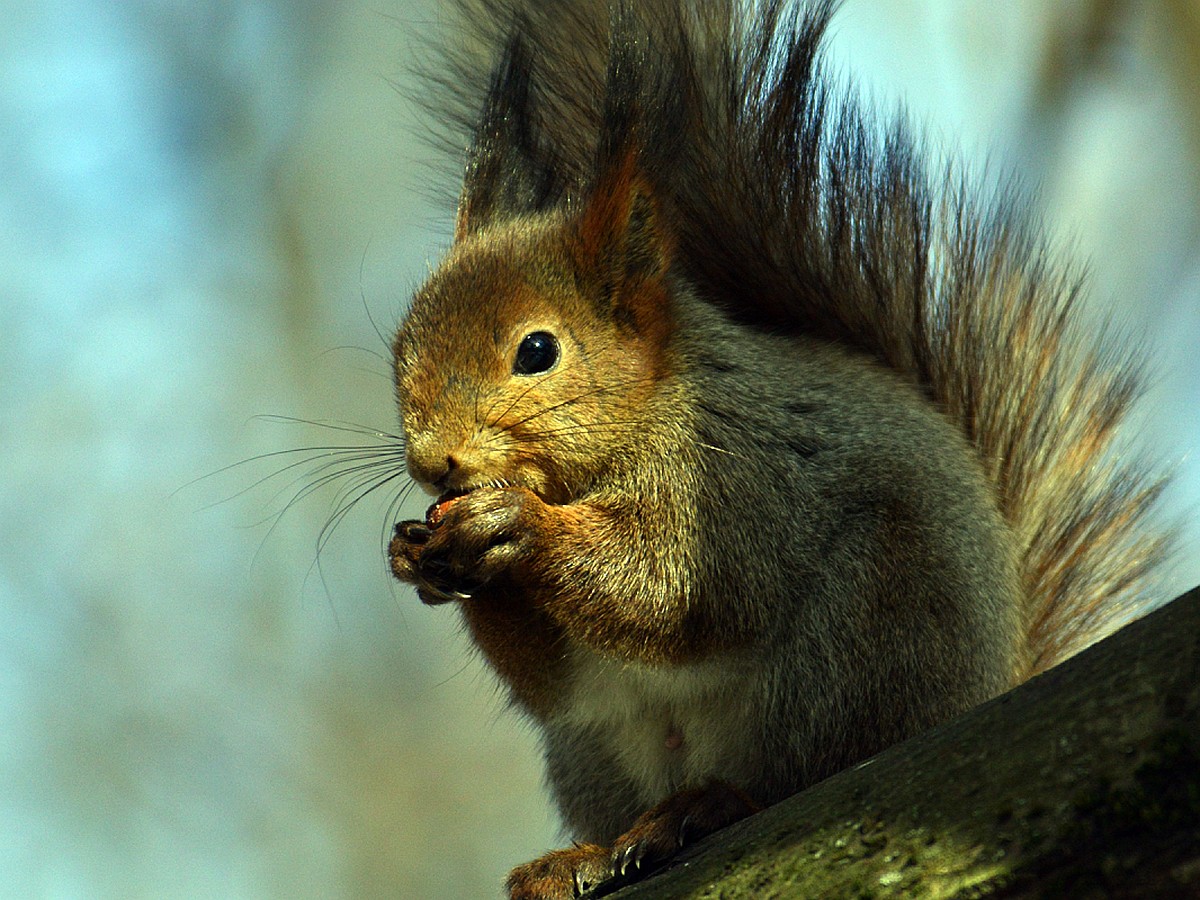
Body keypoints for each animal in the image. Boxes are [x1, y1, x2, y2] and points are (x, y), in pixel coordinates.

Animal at [386, 1, 1171, 900]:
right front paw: (416, 553)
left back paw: (707, 807)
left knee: (803, 773)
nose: (435, 463)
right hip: (595, 752)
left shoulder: (740, 478)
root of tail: (988, 683)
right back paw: (587, 854)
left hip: (863, 632)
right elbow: (550, 675)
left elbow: (671, 591)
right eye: (400, 347)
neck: (626, 433)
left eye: (538, 350)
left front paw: (516, 526)